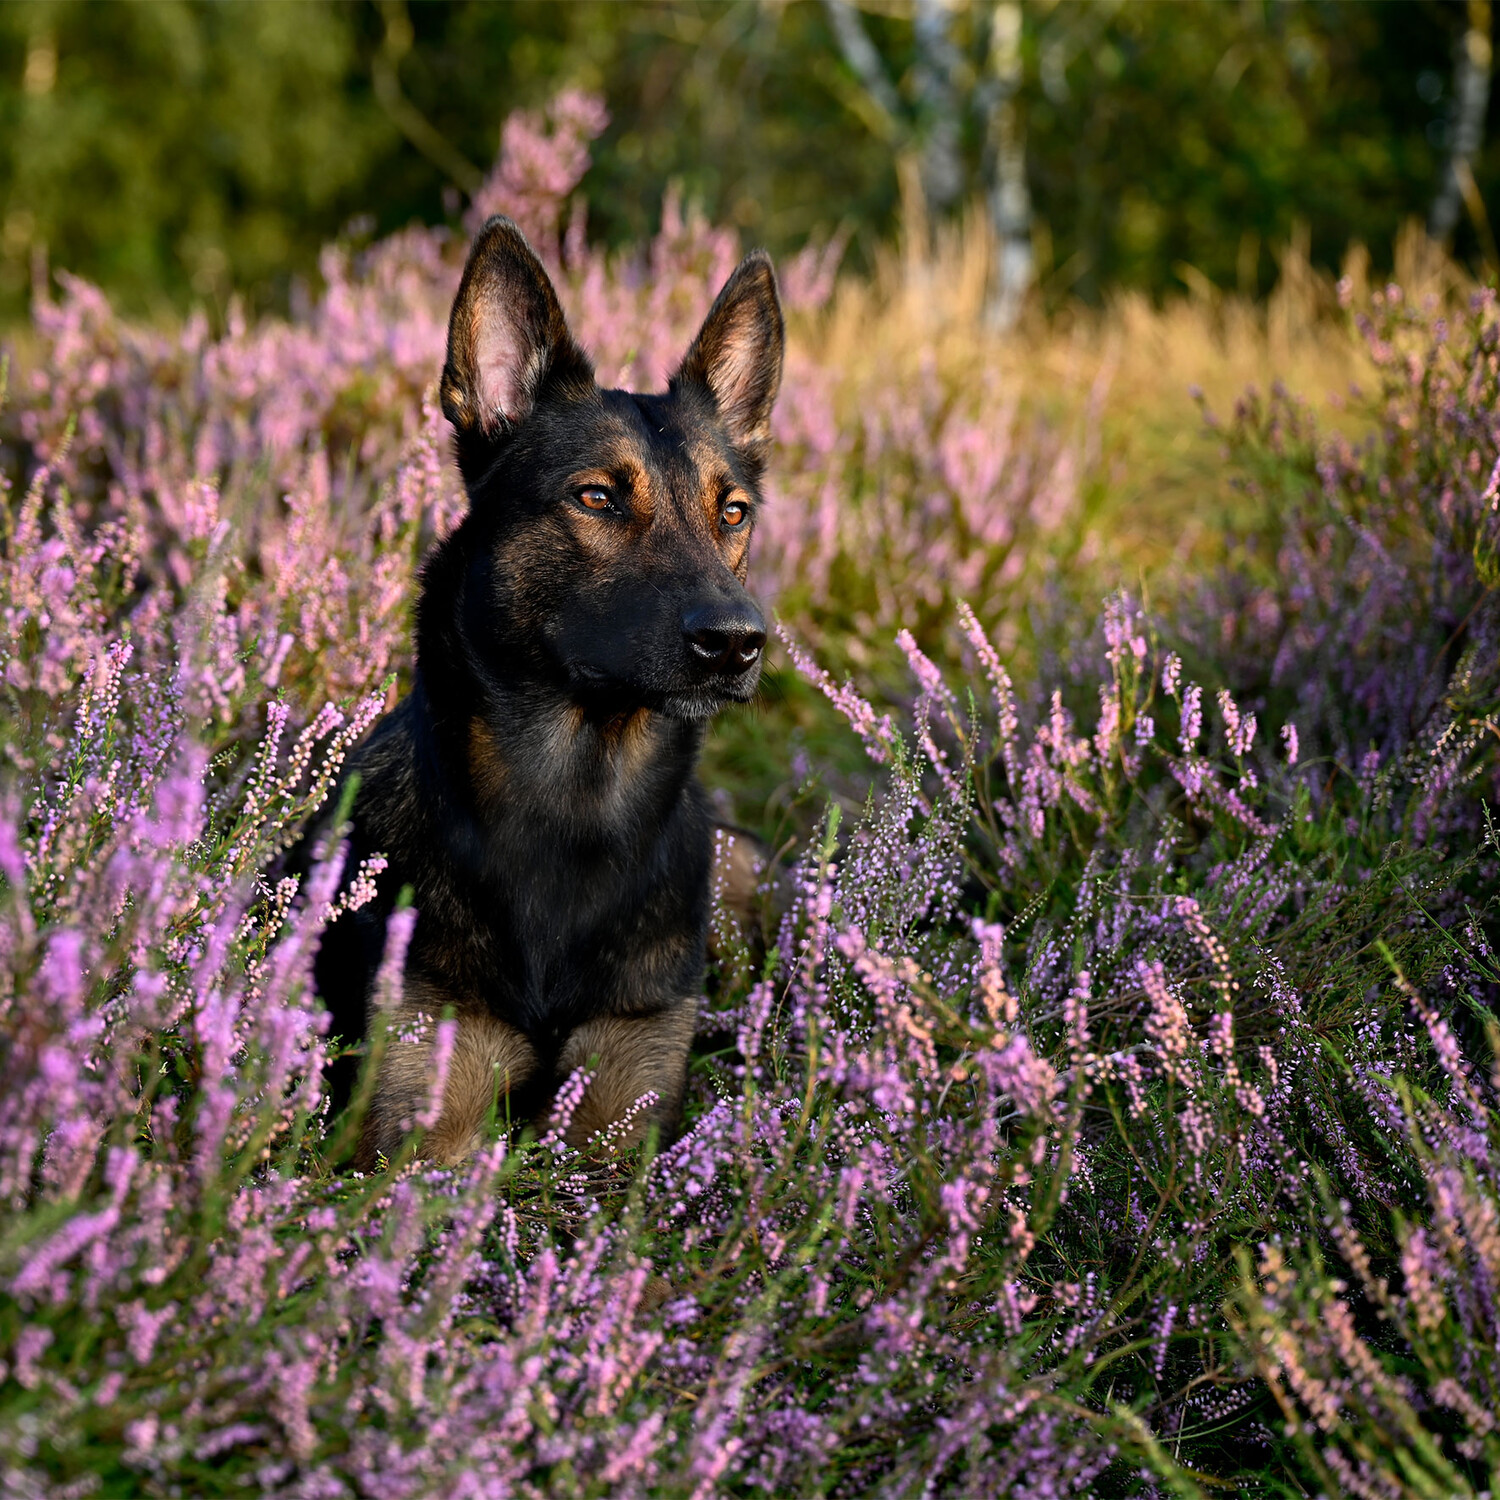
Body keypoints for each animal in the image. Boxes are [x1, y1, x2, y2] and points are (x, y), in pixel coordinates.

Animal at [312, 217, 792, 1164]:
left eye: (733, 512)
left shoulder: (622, 1105)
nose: (736, 642)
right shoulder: (424, 1117)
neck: (577, 802)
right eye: (597, 497)